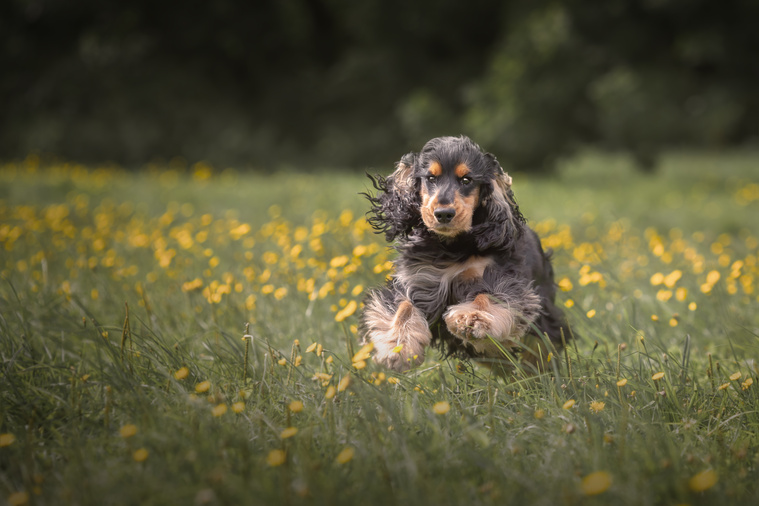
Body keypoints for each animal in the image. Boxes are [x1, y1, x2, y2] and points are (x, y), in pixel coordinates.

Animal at [360, 136, 568, 374]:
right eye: (431, 178)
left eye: (466, 180)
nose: (443, 214)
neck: (451, 247)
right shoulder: (420, 279)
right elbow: (402, 306)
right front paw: (398, 348)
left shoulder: (503, 279)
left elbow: (487, 296)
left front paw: (471, 318)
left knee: (541, 342)